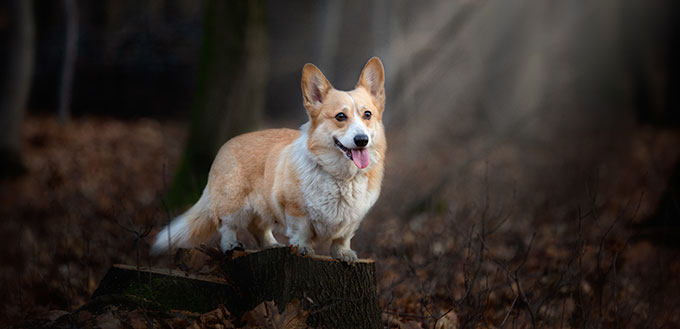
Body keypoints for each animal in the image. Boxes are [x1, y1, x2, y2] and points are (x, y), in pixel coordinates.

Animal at [153, 56, 388, 262]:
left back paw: (272, 245)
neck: (341, 177)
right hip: (234, 203)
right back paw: (232, 244)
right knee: (227, 226)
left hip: (263, 207)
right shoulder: (295, 210)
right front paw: (303, 248)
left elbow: (342, 238)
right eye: (340, 116)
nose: (362, 140)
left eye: (367, 115)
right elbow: (301, 230)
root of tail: (226, 145)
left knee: (258, 228)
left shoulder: (353, 219)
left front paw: (343, 254)